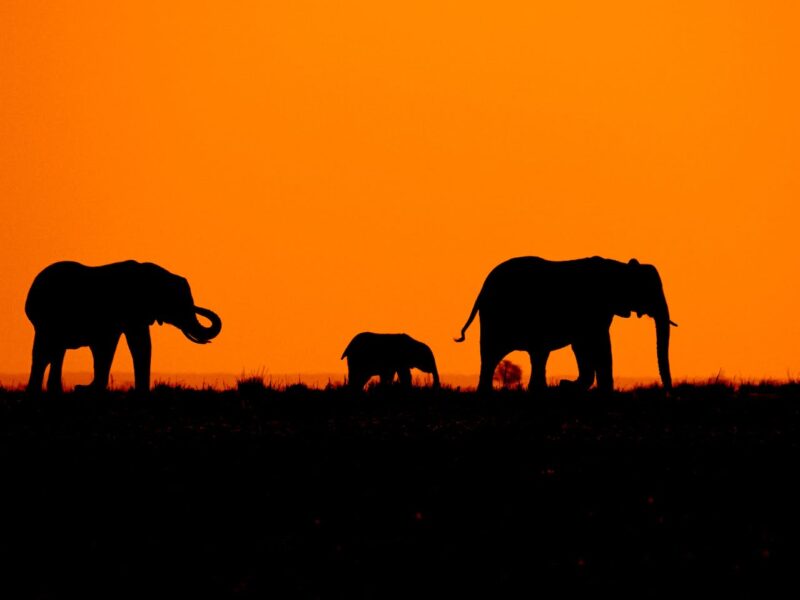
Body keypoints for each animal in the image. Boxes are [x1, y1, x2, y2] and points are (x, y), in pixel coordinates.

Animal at [25, 260, 222, 393]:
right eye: (178, 303)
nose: (198, 307)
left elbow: (132, 345)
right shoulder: (126, 310)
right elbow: (124, 345)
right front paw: (85, 389)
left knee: (55, 352)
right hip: (45, 320)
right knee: (44, 352)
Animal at [455, 256, 676, 393]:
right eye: (650, 290)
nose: (668, 394)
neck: (620, 268)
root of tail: (482, 289)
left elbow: (582, 346)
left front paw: (566, 385)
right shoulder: (594, 309)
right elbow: (599, 344)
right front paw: (570, 386)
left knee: (532, 355)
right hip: (496, 317)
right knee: (494, 354)